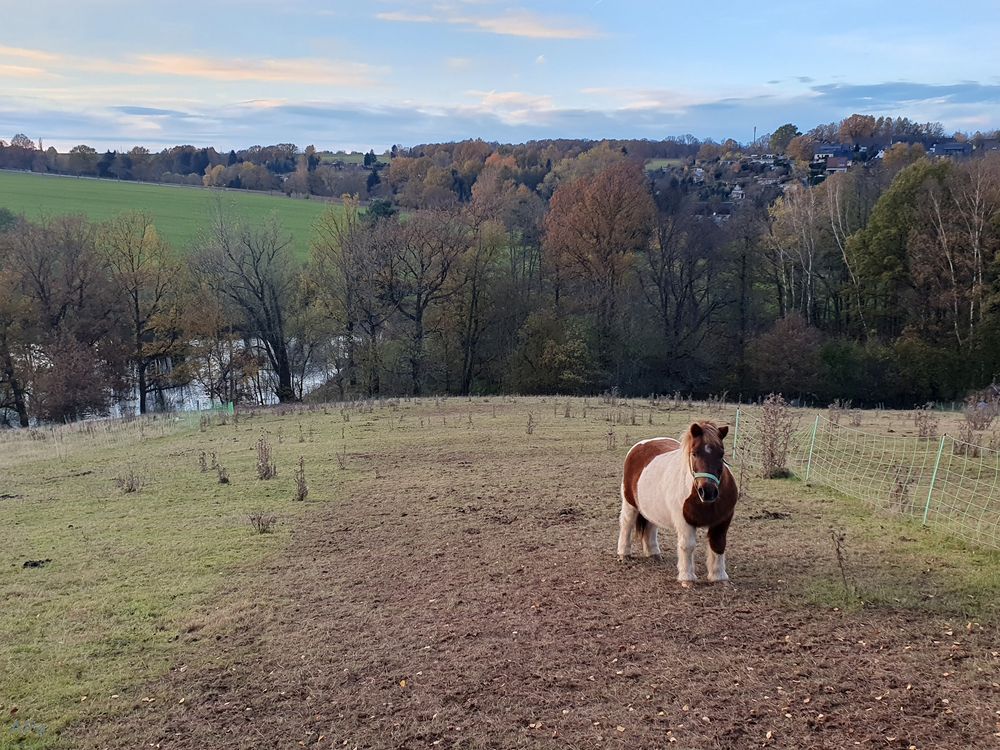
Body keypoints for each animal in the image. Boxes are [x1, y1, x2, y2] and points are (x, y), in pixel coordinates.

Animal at [612, 424, 740, 588]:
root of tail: (641, 444)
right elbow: (687, 546)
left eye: (721, 454)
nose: (708, 492)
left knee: (651, 525)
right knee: (627, 524)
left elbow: (718, 544)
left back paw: (654, 553)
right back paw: (624, 554)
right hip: (630, 504)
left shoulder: (722, 521)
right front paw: (687, 578)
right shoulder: (684, 521)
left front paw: (719, 577)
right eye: (694, 453)